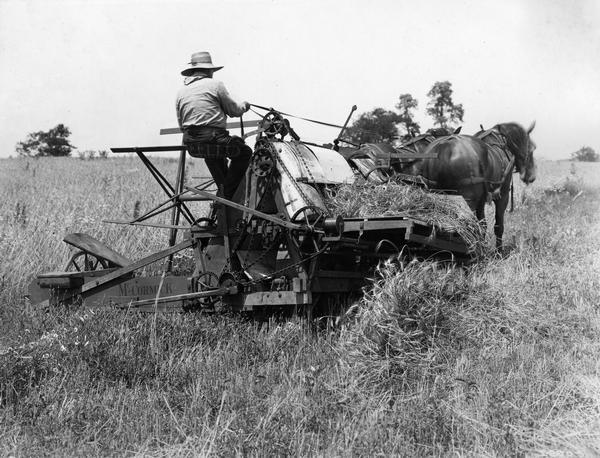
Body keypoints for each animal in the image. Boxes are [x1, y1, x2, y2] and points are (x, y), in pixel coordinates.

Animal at [410, 121, 536, 250]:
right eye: (532, 148)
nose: (531, 176)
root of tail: (443, 148)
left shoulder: (481, 199)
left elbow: (483, 225)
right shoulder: (502, 196)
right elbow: (498, 226)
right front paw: (498, 251)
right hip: (468, 199)